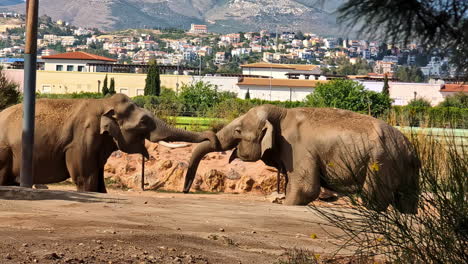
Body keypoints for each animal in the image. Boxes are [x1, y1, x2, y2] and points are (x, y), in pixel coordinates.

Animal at [0, 94, 216, 193]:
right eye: (144, 121)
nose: (212, 136)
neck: (103, 103)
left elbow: (98, 179)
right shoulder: (81, 139)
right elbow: (85, 178)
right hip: (5, 151)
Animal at [183, 104, 420, 213]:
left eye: (238, 131)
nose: (185, 190)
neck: (281, 113)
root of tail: (409, 147)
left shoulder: (298, 149)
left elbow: (306, 188)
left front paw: (286, 204)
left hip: (379, 162)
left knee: (374, 196)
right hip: (406, 169)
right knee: (406, 200)